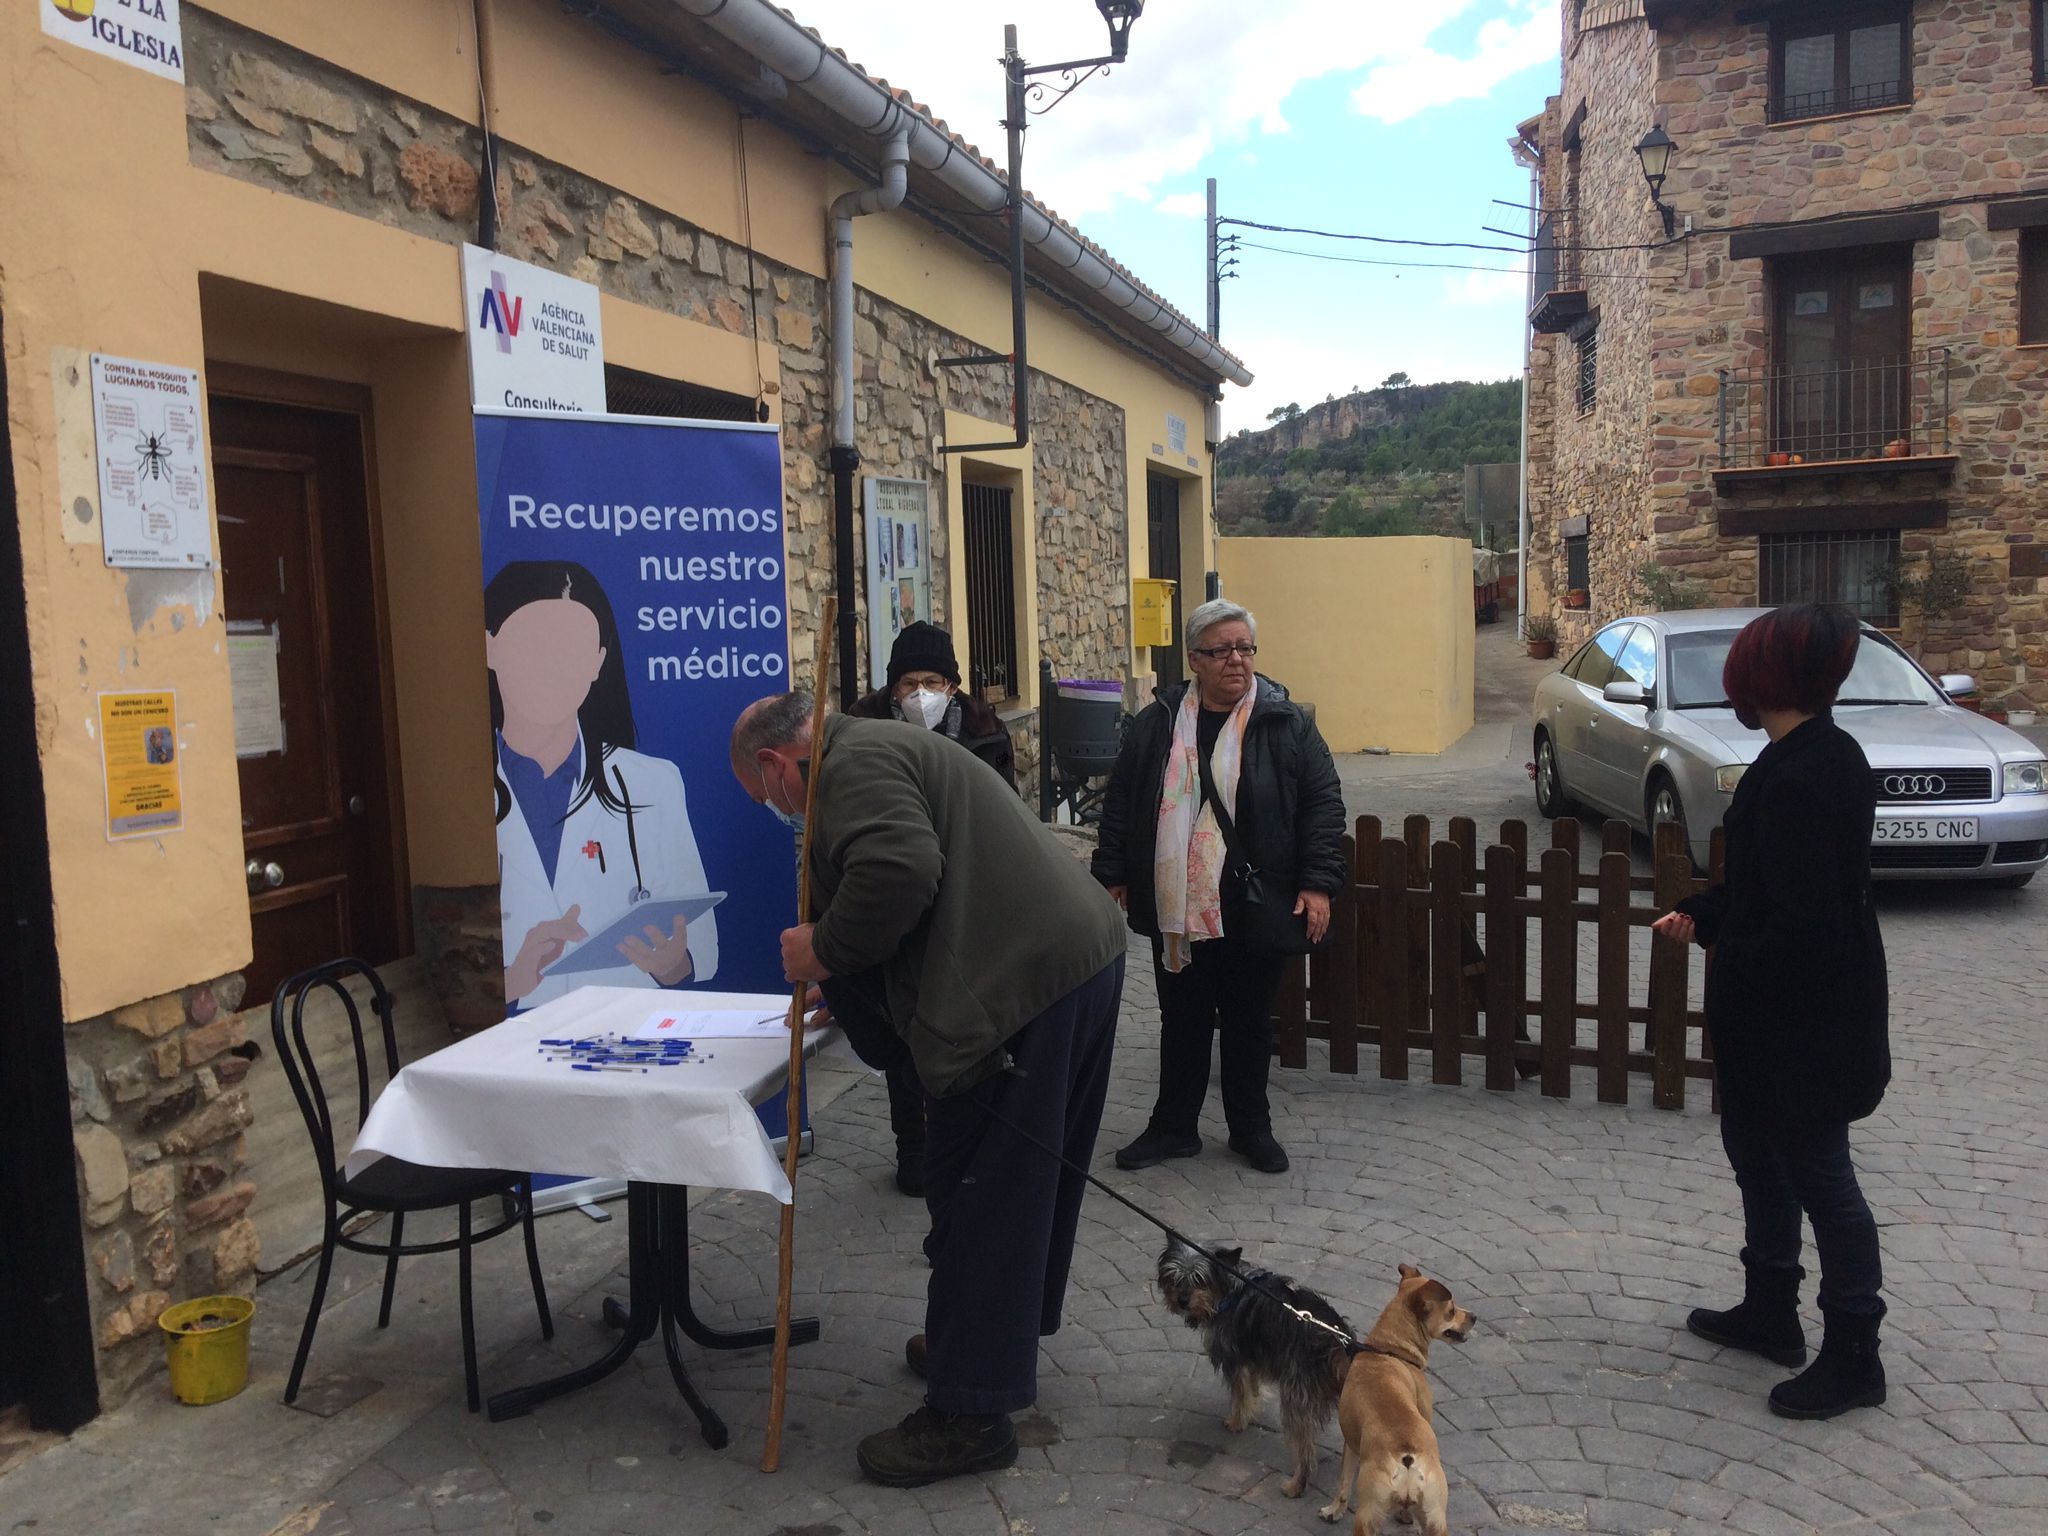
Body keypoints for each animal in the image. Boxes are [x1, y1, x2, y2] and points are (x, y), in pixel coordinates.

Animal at [1163, 1236, 1351, 1507]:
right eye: (1174, 1277)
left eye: (1200, 1279)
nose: (1182, 1300)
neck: (1230, 1287)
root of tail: (1337, 1341)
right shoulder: (1252, 1356)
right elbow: (1251, 1388)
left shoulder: (1233, 1357)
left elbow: (1239, 1394)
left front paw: (1237, 1421)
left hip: (1296, 1396)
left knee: (1305, 1451)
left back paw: (1296, 1485)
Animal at [1318, 1269, 1482, 1531]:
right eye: (1451, 1310)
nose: (1474, 1316)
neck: (1388, 1349)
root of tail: (1407, 1458)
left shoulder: (1350, 1443)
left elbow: (1343, 1483)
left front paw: (1333, 1511)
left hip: (1422, 1518)